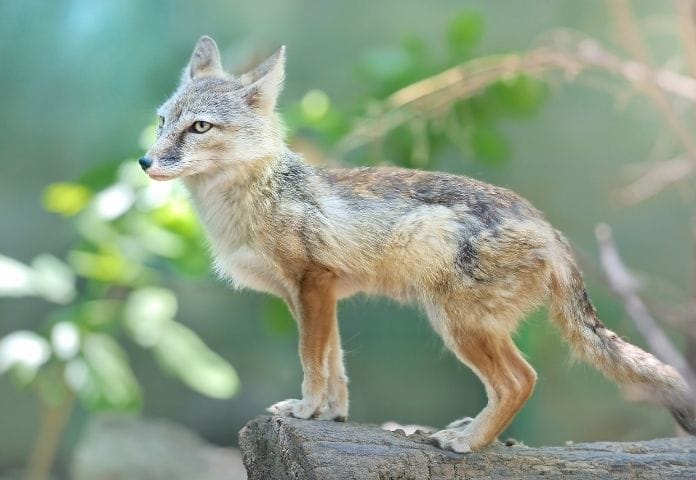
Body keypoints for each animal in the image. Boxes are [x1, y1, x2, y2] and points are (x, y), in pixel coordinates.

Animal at [140, 36, 696, 453]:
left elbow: (312, 361)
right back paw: (471, 430)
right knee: (517, 381)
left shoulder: (311, 284)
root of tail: (546, 226)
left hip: (456, 324)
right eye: (163, 122)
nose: (145, 162)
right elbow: (336, 365)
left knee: (521, 380)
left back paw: (468, 443)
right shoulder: (321, 295)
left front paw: (305, 409)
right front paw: (331, 415)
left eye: (200, 127)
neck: (259, 197)